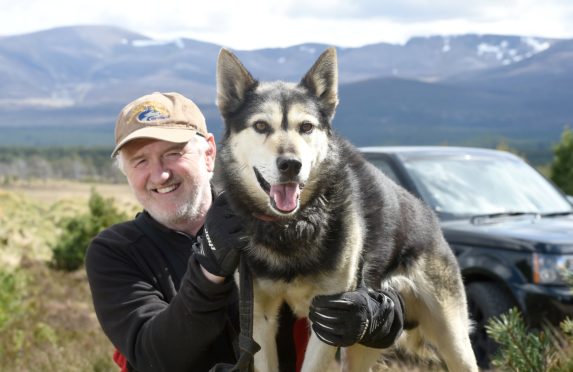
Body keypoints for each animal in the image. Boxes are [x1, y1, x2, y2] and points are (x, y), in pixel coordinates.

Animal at [214, 47, 478, 372]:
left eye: (306, 127)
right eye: (261, 126)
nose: (291, 165)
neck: (293, 227)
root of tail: (428, 214)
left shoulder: (330, 317)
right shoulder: (260, 320)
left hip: (451, 340)